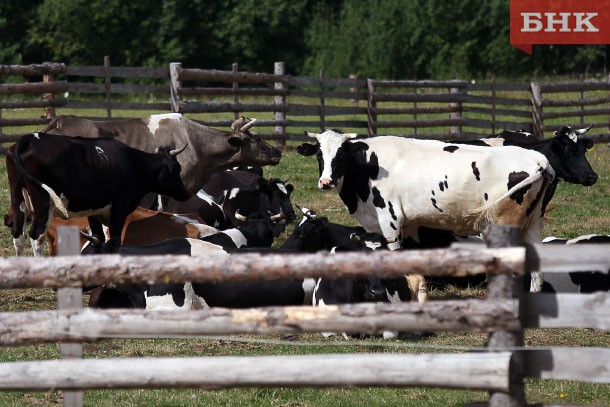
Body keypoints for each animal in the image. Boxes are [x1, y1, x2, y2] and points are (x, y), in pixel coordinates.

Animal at [5, 132, 189, 256]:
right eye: (177, 168)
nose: (185, 193)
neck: (132, 164)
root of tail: (28, 139)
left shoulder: (94, 210)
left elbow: (98, 238)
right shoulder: (119, 209)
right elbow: (114, 242)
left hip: (17, 195)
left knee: (18, 234)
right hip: (43, 201)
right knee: (37, 236)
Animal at [296, 131, 560, 294]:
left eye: (341, 154)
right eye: (319, 154)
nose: (326, 181)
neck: (367, 167)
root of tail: (540, 160)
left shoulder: (391, 220)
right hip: (533, 223)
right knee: (537, 273)